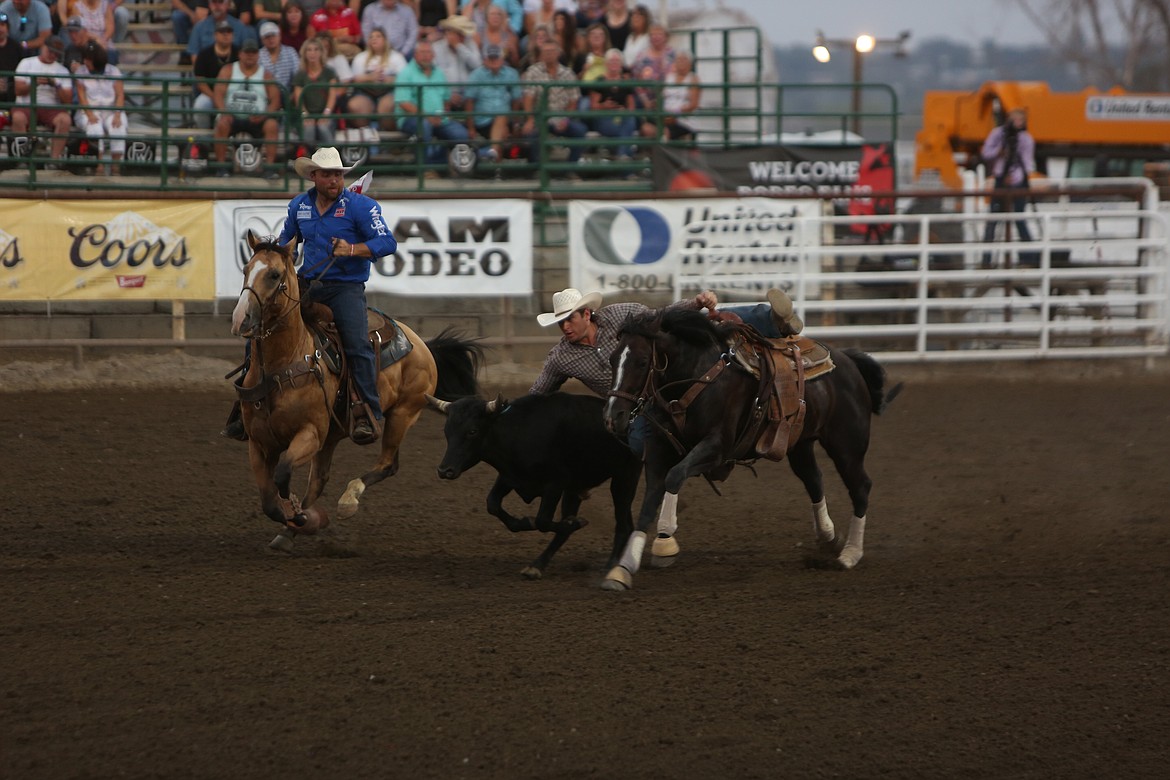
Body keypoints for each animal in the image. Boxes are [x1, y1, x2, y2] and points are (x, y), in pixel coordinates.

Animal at [232, 229, 479, 551]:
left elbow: (283, 474)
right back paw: (293, 529)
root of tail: (422, 344)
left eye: (274, 275)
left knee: (387, 463)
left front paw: (298, 515)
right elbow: (268, 501)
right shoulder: (259, 443)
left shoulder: (310, 433)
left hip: (402, 414)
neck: (284, 362)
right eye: (246, 269)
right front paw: (294, 519)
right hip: (334, 436)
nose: (241, 319)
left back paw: (348, 499)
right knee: (321, 480)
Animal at [599, 308, 898, 589]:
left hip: (847, 446)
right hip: (799, 445)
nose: (613, 418)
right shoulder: (659, 451)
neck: (696, 376)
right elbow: (649, 501)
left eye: (641, 362)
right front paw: (622, 568)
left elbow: (675, 477)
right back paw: (829, 537)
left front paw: (664, 541)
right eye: (612, 359)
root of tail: (848, 360)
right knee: (814, 480)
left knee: (860, 487)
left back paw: (850, 554)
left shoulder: (716, 447)